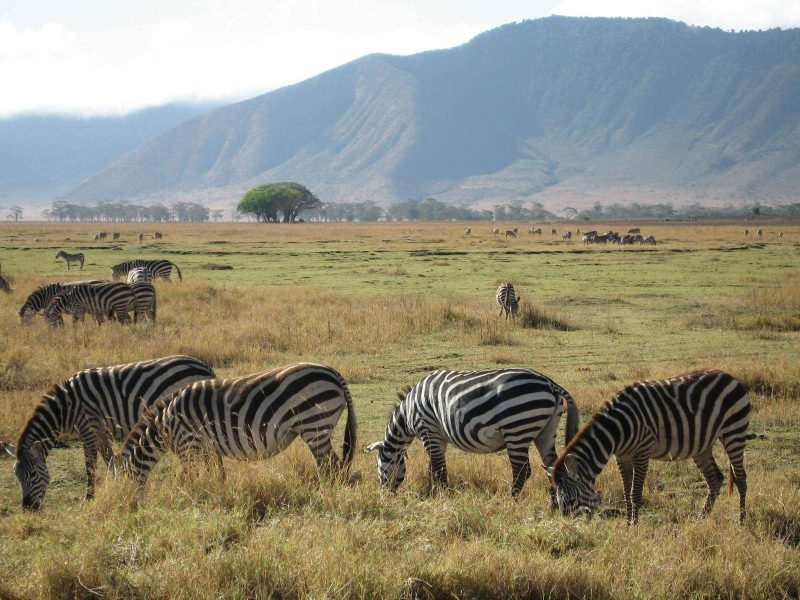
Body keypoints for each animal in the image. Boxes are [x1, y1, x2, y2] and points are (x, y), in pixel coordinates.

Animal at [2, 354, 216, 508]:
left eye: (33, 474)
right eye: (16, 475)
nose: (28, 507)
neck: (66, 408)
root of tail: (204, 366)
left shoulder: (87, 426)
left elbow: (90, 463)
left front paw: (89, 497)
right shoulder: (99, 429)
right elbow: (108, 458)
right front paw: (118, 480)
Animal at [112, 364, 356, 494]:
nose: (130, 509)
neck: (165, 425)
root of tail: (333, 372)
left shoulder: (187, 444)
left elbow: (189, 477)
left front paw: (193, 496)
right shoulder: (207, 447)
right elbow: (217, 472)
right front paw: (217, 492)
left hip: (315, 425)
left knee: (332, 466)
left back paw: (328, 493)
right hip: (316, 429)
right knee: (332, 465)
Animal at [366, 366, 580, 502]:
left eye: (380, 468)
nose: (385, 497)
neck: (408, 413)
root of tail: (550, 383)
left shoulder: (428, 430)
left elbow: (439, 469)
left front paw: (444, 496)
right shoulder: (438, 437)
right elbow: (433, 467)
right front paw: (434, 492)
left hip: (516, 429)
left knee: (522, 470)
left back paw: (511, 499)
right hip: (546, 431)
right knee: (552, 466)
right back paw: (554, 502)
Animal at [548, 370, 752, 524]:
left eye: (571, 500)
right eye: (558, 502)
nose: (570, 529)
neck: (617, 430)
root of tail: (730, 376)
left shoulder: (642, 452)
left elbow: (635, 493)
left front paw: (635, 526)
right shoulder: (622, 456)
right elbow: (626, 492)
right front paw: (628, 524)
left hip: (734, 431)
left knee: (741, 477)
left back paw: (741, 520)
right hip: (703, 445)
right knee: (715, 479)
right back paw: (701, 518)